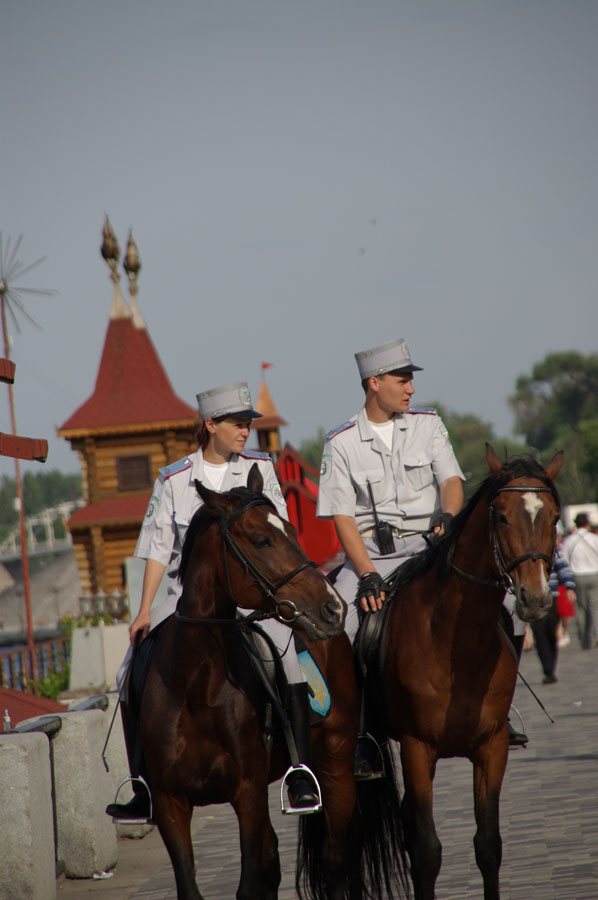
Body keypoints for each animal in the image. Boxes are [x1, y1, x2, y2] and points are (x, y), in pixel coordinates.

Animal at [136, 468, 408, 896]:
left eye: (293, 531)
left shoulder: (247, 793)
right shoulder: (169, 803)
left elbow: (250, 882)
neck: (195, 684)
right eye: (262, 540)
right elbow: (192, 884)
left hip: (336, 764)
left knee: (335, 860)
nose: (332, 607)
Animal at [364, 446, 564, 900]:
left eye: (554, 517)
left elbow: (487, 844)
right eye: (502, 517)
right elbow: (426, 851)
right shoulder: (417, 748)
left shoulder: (491, 746)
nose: (536, 599)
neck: (458, 645)